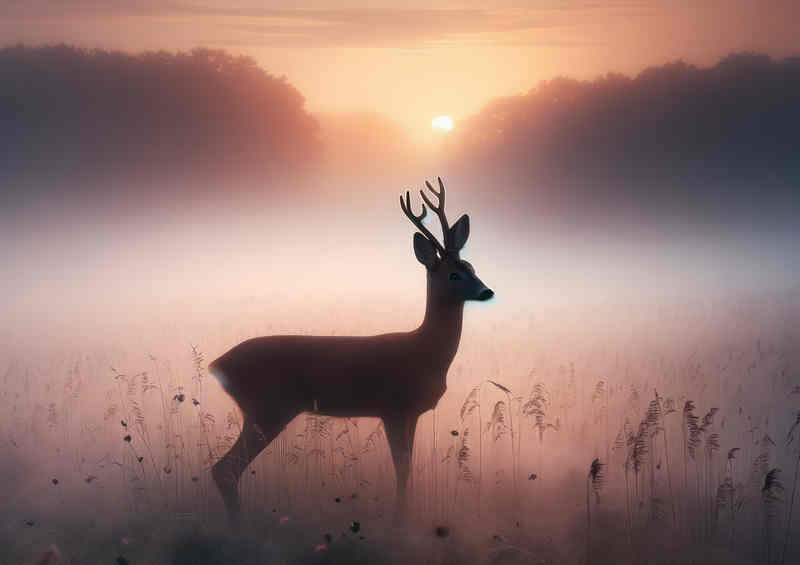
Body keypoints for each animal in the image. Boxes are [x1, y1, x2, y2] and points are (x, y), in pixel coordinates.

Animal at [209, 177, 494, 523]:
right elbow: (402, 471)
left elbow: (406, 470)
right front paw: (399, 522)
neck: (426, 353)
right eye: (454, 274)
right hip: (267, 408)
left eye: (472, 267)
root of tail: (217, 365)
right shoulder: (393, 408)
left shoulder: (410, 414)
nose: (487, 291)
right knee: (225, 469)